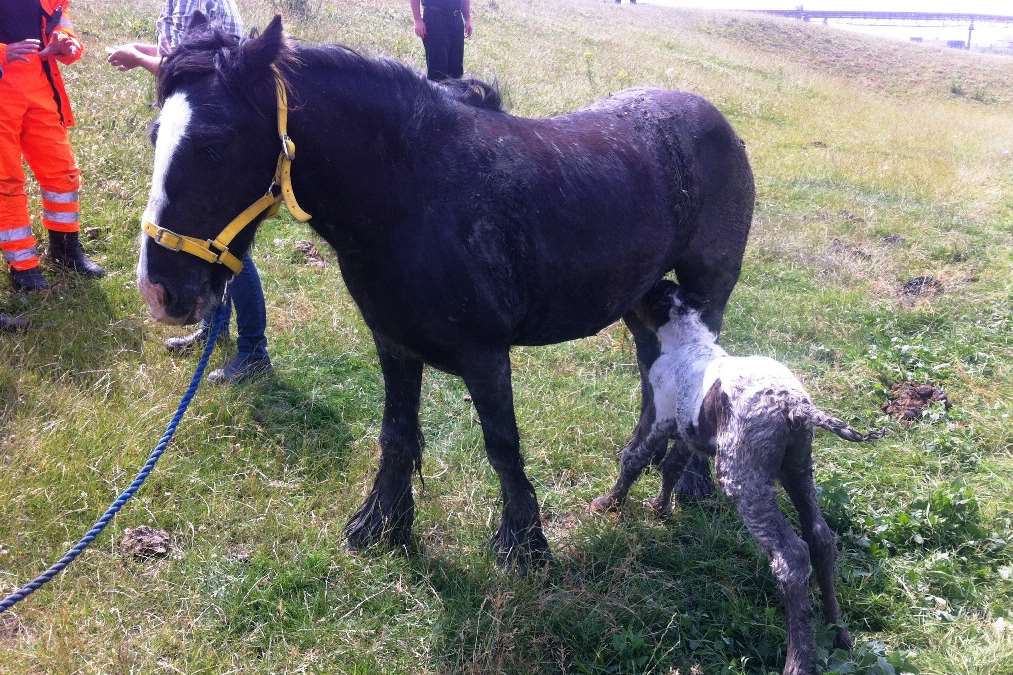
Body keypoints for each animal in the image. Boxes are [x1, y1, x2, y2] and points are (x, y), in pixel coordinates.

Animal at [136, 17, 753, 563]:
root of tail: (717, 122)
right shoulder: (394, 344)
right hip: (643, 305)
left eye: (214, 146)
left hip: (708, 294)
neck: (414, 192)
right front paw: (381, 526)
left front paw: (524, 546)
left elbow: (502, 446)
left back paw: (691, 483)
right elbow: (397, 435)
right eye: (155, 135)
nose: (161, 291)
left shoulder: (485, 356)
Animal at [591, 277, 883, 672]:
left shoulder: (658, 417)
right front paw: (661, 508)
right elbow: (673, 467)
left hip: (742, 478)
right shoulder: (688, 433)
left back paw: (798, 659)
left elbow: (634, 459)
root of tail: (793, 404)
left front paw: (610, 503)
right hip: (798, 469)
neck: (689, 340)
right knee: (821, 538)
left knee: (793, 556)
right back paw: (839, 633)